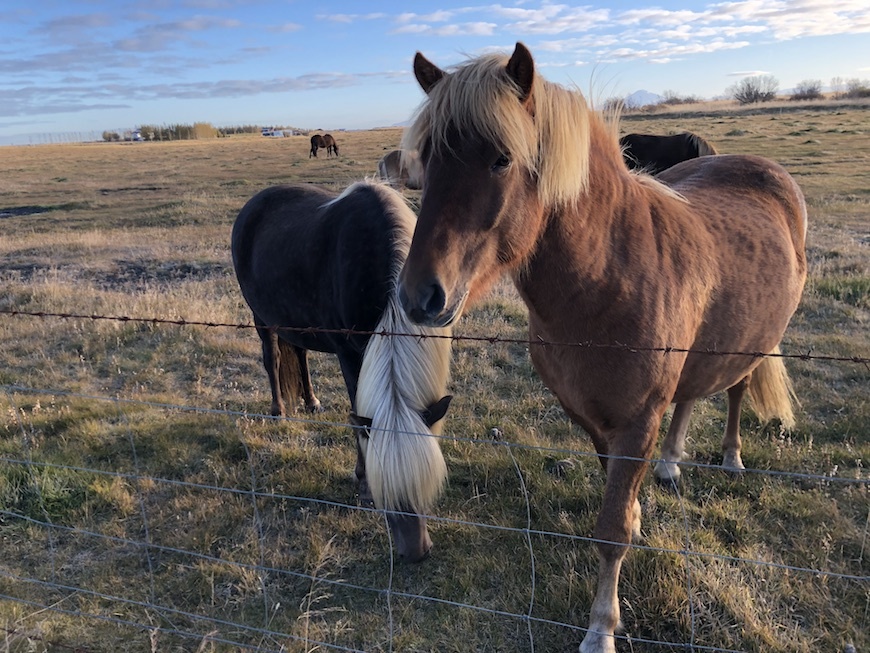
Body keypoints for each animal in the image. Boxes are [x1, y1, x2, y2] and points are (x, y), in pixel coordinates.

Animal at [232, 181, 453, 561]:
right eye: (385, 491)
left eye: (424, 482)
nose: (414, 552)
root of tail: (253, 204)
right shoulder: (350, 355)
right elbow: (358, 418)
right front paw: (362, 483)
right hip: (262, 317)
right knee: (271, 358)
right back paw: (279, 410)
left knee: (300, 355)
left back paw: (311, 401)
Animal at [397, 43, 806, 652]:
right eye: (427, 158)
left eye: (500, 159)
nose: (419, 296)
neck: (609, 278)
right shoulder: (594, 416)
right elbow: (617, 493)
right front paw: (639, 509)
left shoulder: (636, 420)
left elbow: (611, 532)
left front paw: (601, 629)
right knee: (692, 394)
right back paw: (670, 463)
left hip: (755, 342)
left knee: (734, 391)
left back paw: (731, 458)